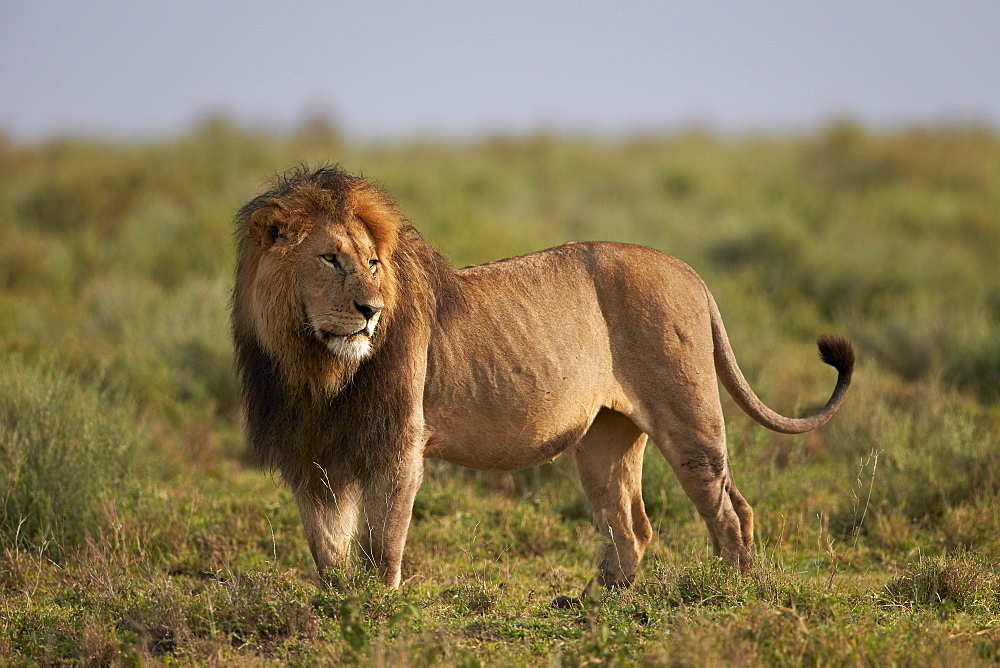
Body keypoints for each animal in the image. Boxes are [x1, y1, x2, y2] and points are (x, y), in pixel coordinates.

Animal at [230, 166, 856, 604]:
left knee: (731, 511)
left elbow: (382, 540)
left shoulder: (398, 444)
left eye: (374, 263)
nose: (370, 310)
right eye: (330, 259)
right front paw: (335, 603)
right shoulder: (308, 451)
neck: (315, 367)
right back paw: (592, 604)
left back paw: (728, 595)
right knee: (631, 527)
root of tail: (690, 272)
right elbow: (326, 542)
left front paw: (378, 606)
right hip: (605, 437)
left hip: (689, 419)